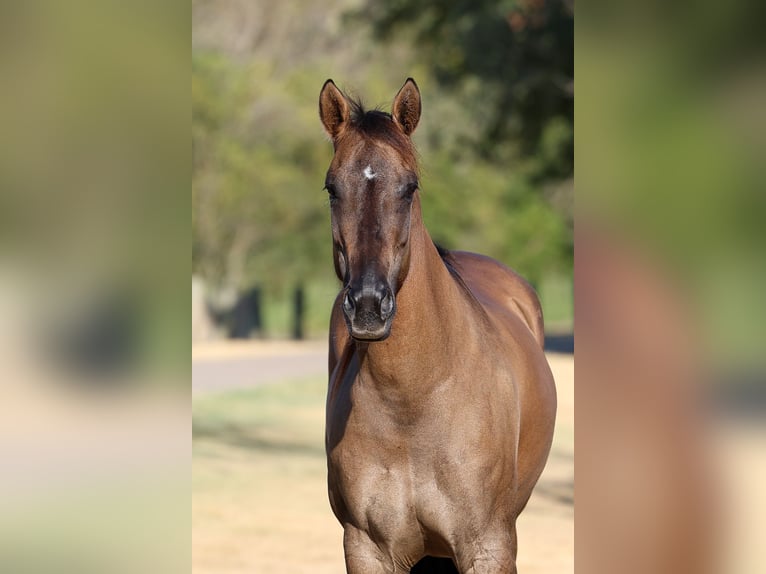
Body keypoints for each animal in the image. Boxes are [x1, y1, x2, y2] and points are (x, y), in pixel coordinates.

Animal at [319, 78, 556, 574]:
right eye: (332, 188)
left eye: (409, 187)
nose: (368, 306)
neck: (414, 402)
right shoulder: (367, 549)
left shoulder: (488, 546)